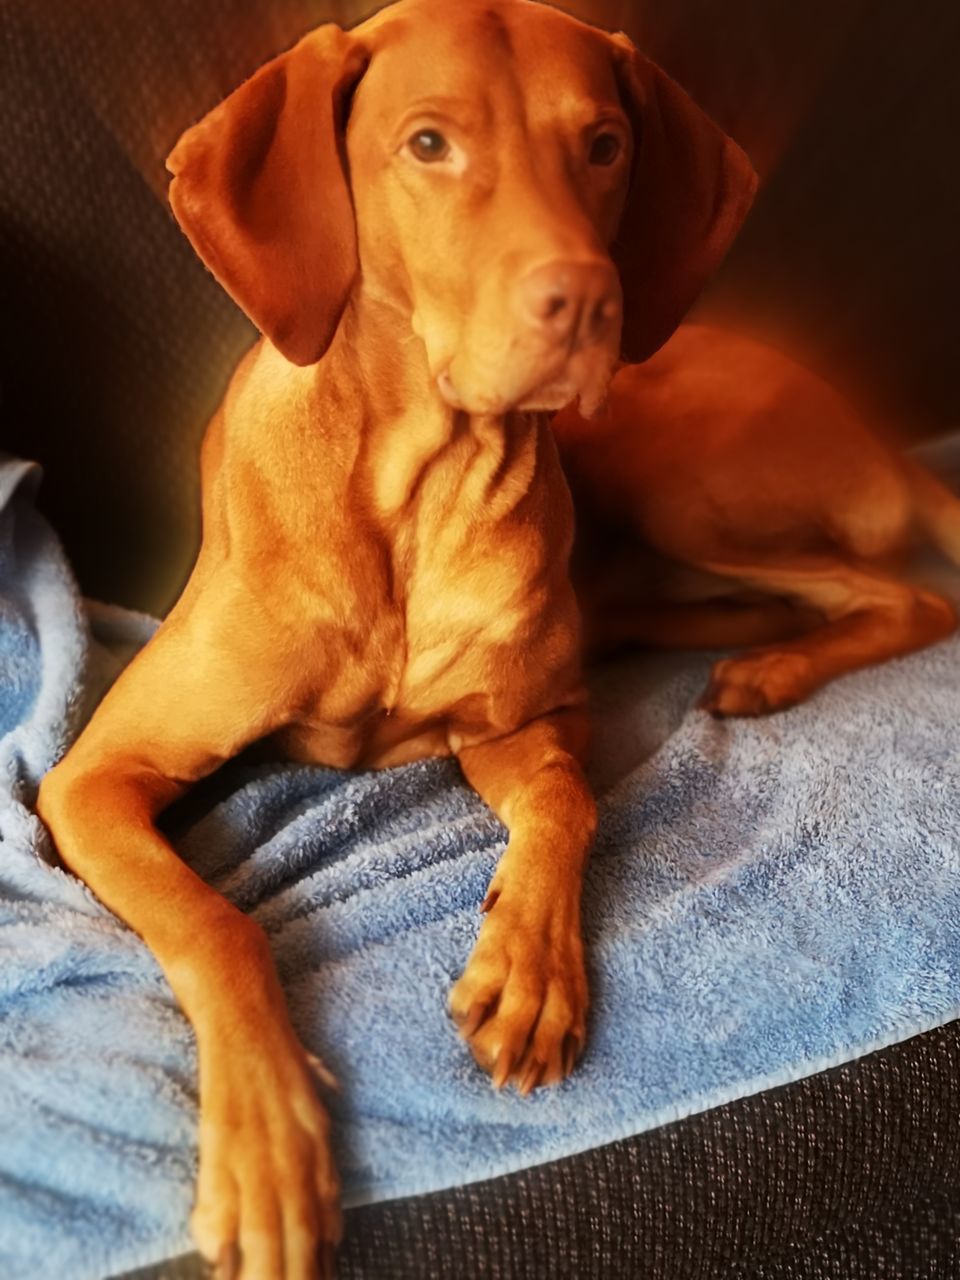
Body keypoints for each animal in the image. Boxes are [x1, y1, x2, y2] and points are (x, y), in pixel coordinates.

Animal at [35, 2, 757, 1280]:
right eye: (428, 144)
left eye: (605, 144)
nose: (588, 302)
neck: (420, 490)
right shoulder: (91, 777)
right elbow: (216, 921)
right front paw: (268, 1138)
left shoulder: (534, 715)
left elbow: (569, 794)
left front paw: (528, 966)